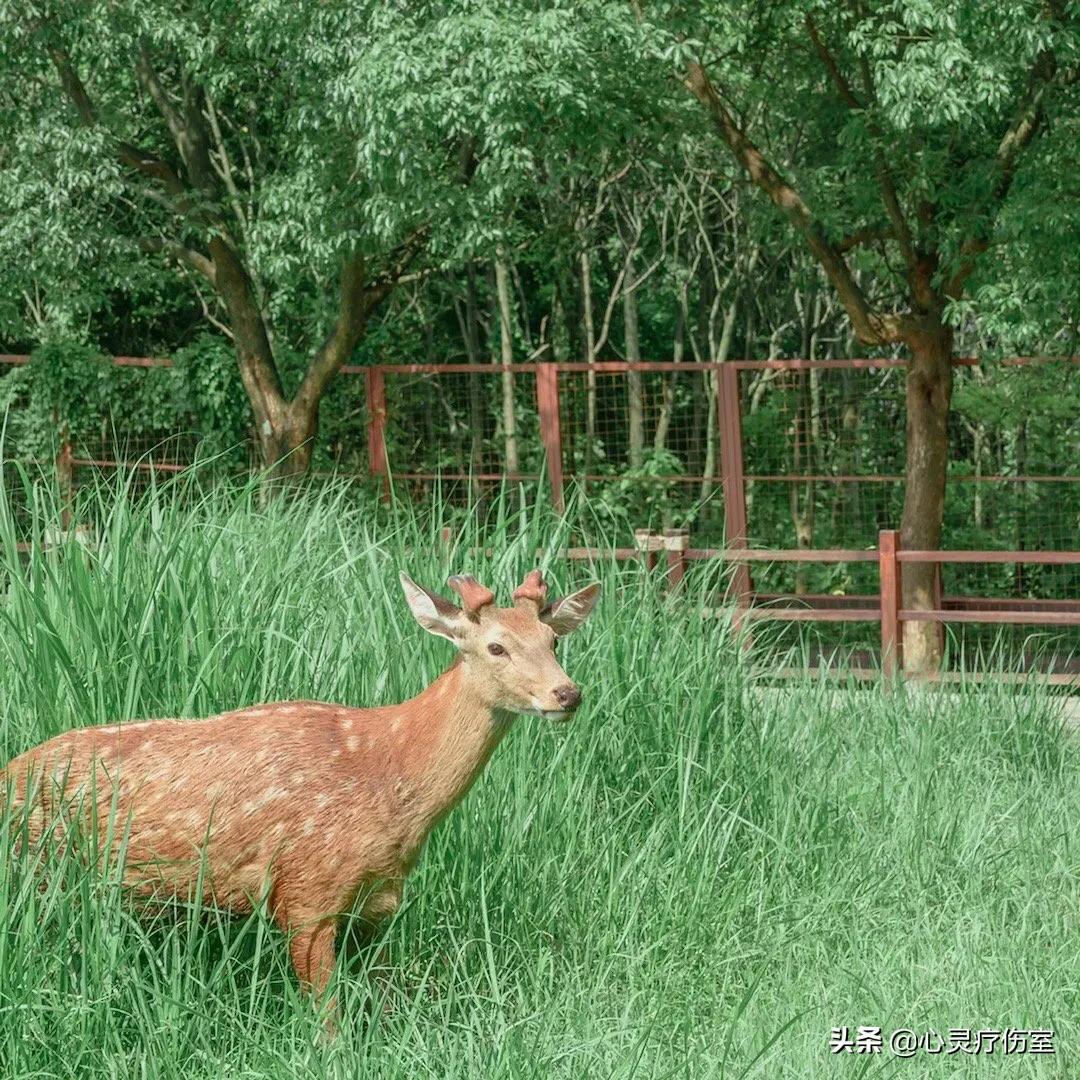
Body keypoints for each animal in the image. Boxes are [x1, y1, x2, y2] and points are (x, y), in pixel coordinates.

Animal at [0, 570, 600, 1023]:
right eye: (496, 646)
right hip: (42, 869)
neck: (387, 777)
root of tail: (10, 772)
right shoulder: (307, 892)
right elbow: (326, 1016)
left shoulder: (378, 900)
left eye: (552, 641)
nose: (566, 693)